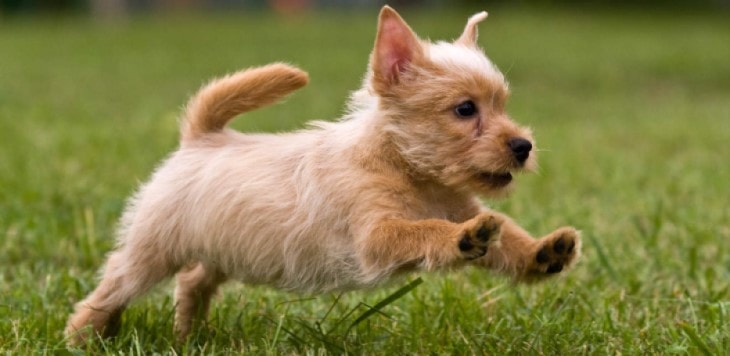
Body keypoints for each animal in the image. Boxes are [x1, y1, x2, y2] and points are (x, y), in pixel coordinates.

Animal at [67, 5, 580, 344]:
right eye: (465, 109)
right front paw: (461, 237)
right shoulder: (376, 236)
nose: (523, 146)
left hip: (222, 247)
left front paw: (542, 252)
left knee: (193, 281)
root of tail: (201, 137)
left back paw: (188, 335)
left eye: (502, 105)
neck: (409, 171)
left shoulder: (462, 205)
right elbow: (425, 230)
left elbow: (508, 236)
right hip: (152, 250)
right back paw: (84, 334)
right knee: (114, 284)